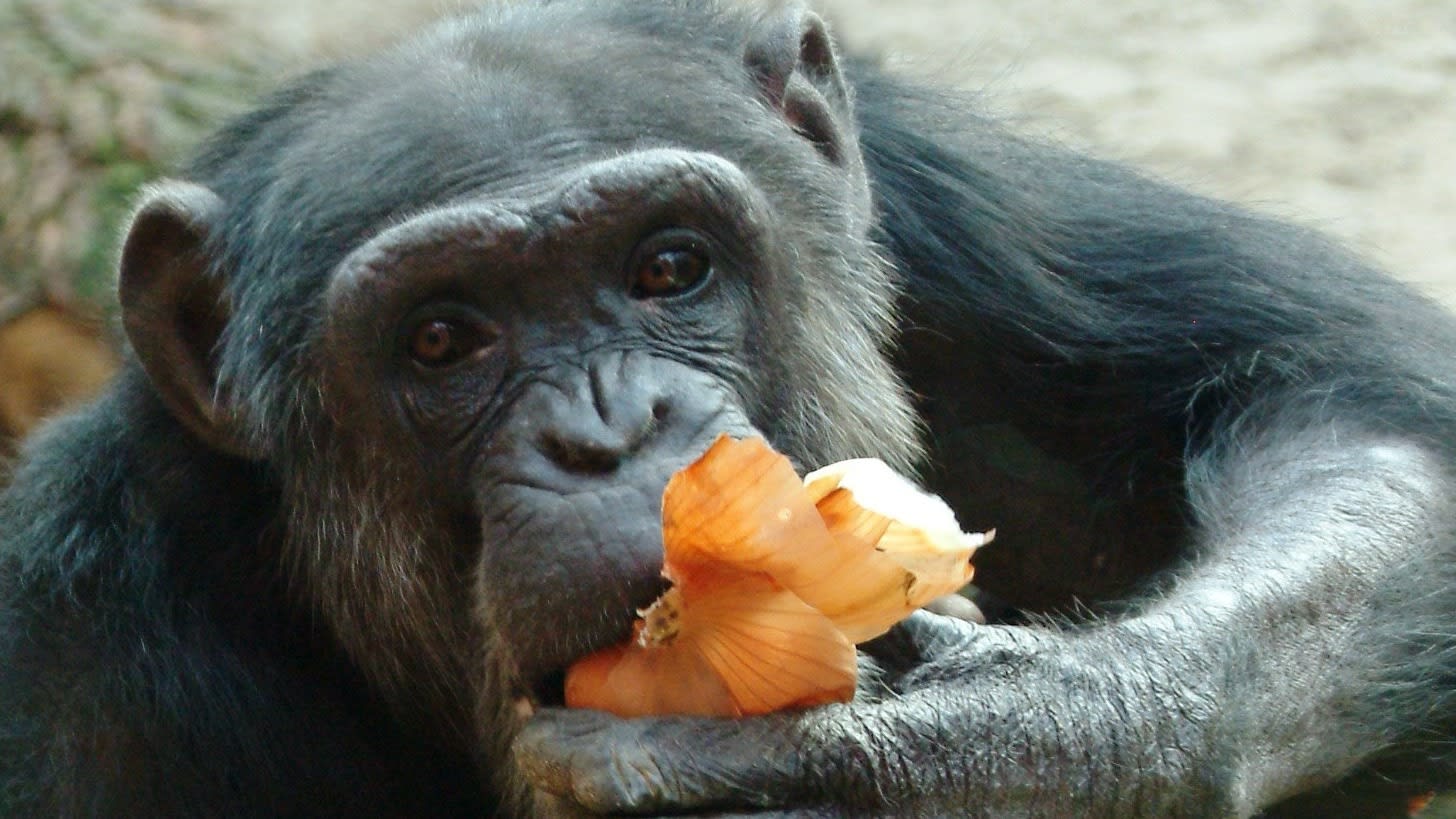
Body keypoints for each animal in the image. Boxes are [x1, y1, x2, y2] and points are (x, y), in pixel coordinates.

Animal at [2, 1, 1456, 816]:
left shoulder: (954, 205)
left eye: (667, 268)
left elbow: (1349, 391)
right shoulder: (77, 662)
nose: (607, 432)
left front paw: (964, 751)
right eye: (442, 340)